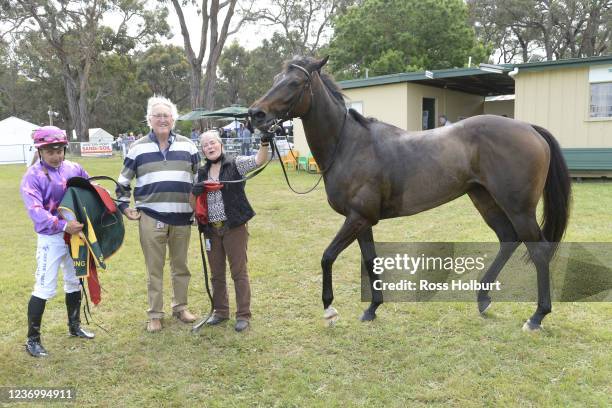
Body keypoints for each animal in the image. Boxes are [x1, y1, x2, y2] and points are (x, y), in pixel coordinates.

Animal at [246, 56, 572, 332]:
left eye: (294, 83)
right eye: (276, 78)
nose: (254, 114)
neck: (349, 145)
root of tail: (528, 128)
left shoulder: (356, 218)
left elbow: (327, 257)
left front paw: (329, 310)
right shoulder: (362, 220)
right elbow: (370, 260)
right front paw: (372, 309)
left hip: (518, 208)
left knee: (538, 251)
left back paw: (537, 316)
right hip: (485, 199)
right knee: (508, 238)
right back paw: (483, 298)